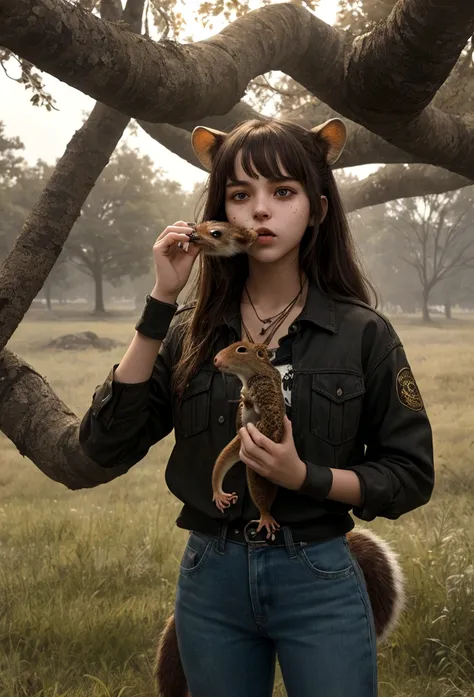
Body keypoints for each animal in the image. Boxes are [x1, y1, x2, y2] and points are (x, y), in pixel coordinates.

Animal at [154, 342, 406, 696]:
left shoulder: (264, 400)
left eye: (241, 349)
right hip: (233, 455)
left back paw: (264, 515)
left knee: (258, 494)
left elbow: (260, 410)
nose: (216, 360)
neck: (256, 374)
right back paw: (220, 493)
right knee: (221, 466)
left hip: (254, 474)